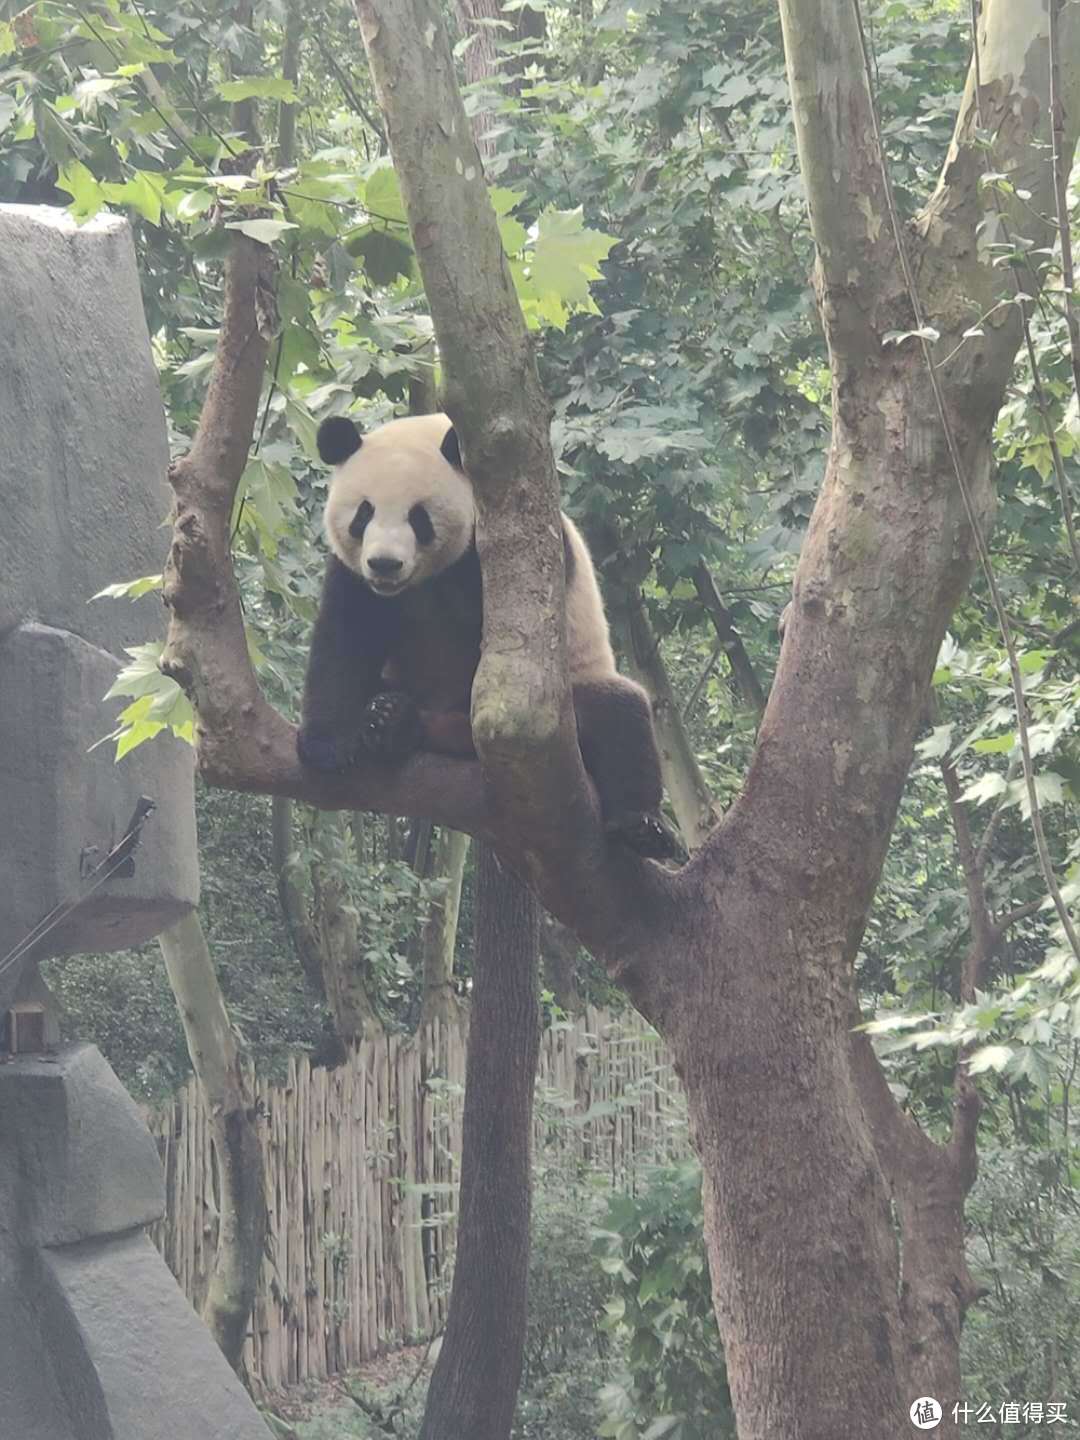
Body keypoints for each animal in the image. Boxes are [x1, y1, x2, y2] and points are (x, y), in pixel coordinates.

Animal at [300, 411, 679, 858]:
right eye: (363, 514)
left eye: (418, 518)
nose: (385, 564)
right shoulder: (354, 577)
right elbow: (344, 642)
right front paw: (328, 746)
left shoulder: (516, 558)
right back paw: (390, 720)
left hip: (571, 695)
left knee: (620, 716)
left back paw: (643, 829)